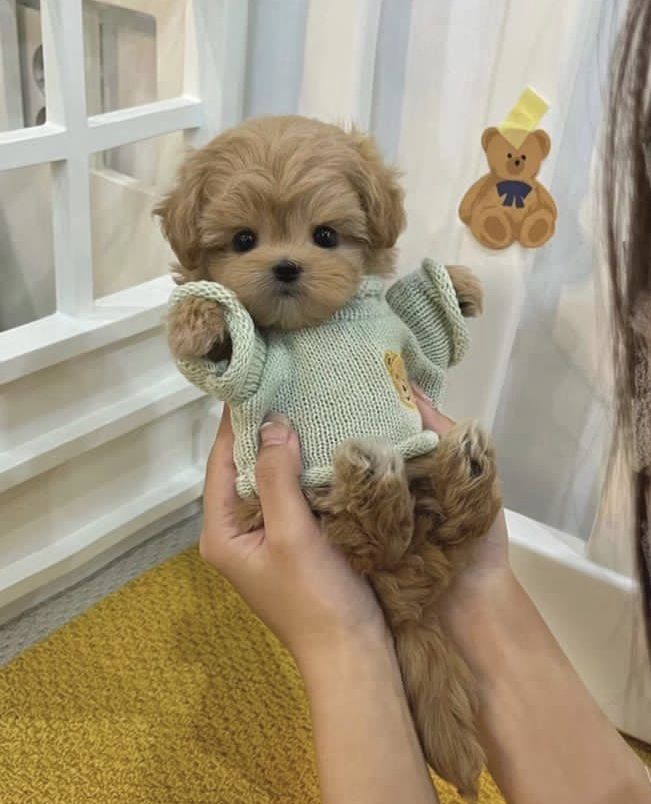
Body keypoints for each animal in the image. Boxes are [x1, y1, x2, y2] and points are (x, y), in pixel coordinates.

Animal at [155, 113, 502, 796]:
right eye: (243, 240)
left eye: (325, 235)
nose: (287, 266)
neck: (313, 322)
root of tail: (408, 602)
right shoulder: (253, 376)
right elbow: (230, 355)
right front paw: (201, 319)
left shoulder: (406, 338)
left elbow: (426, 331)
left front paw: (462, 284)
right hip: (321, 508)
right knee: (375, 539)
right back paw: (376, 483)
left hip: (419, 473)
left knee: (447, 529)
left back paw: (460, 476)